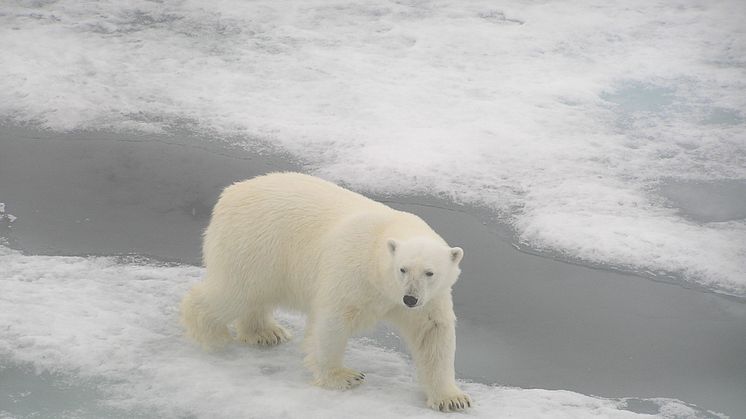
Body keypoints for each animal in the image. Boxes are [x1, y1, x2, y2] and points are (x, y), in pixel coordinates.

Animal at [179, 172, 468, 412]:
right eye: (402, 269)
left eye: (430, 272)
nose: (410, 298)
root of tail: (230, 193)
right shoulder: (352, 271)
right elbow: (333, 321)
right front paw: (343, 376)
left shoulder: (431, 298)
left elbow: (432, 333)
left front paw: (452, 399)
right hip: (253, 245)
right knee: (233, 293)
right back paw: (210, 333)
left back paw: (265, 332)